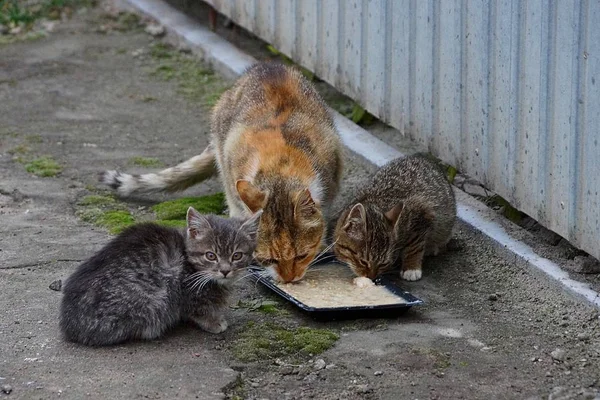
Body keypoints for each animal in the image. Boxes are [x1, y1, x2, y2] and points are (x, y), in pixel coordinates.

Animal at [59, 206, 262, 346]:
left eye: (237, 256)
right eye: (210, 256)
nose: (225, 270)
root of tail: (70, 324)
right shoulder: (187, 292)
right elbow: (197, 309)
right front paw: (213, 322)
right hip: (154, 299)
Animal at [332, 153, 454, 282]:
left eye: (383, 264)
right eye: (363, 262)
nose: (371, 277)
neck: (376, 201)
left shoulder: (422, 214)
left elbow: (415, 245)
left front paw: (411, 267)